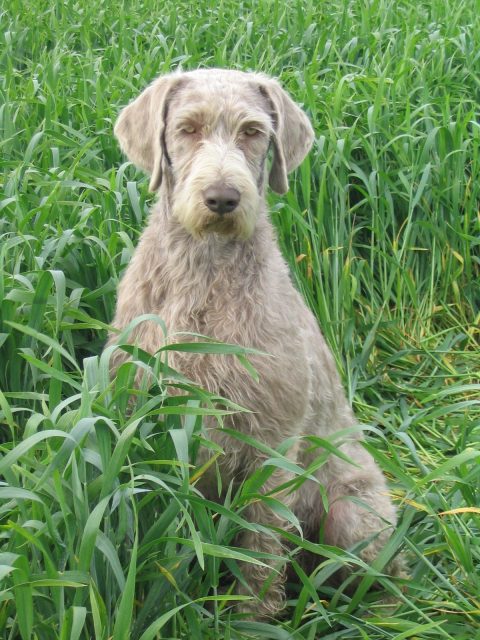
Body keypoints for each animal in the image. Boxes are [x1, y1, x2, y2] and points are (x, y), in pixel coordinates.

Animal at [108, 70, 402, 620]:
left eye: (252, 132)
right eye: (188, 128)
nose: (223, 198)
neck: (204, 271)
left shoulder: (272, 441)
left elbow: (262, 543)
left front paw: (253, 620)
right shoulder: (145, 418)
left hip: (353, 513)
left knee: (385, 575)